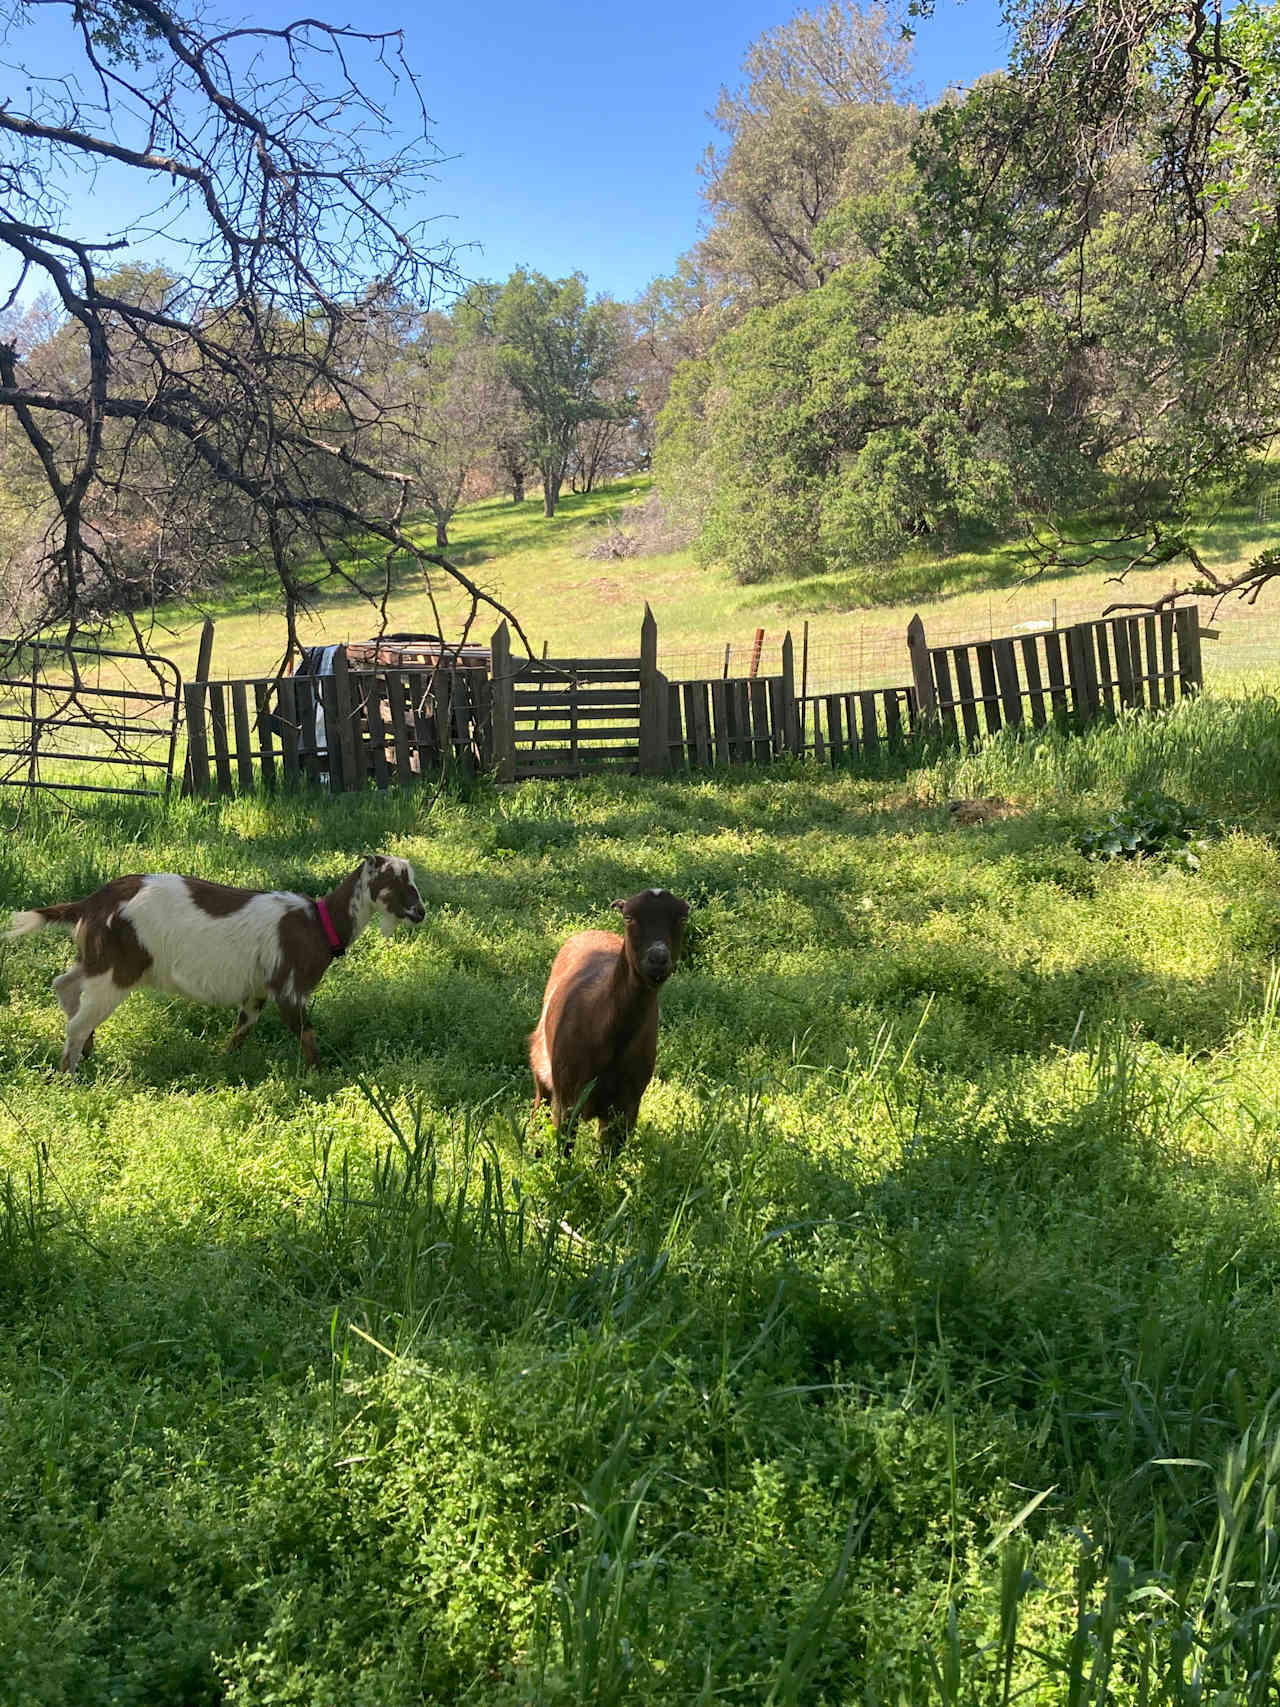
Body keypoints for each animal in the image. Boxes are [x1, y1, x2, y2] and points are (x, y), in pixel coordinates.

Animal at [6, 860, 426, 1071]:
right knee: (77, 1021)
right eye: (398, 881)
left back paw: (87, 1053)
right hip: (117, 970)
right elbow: (307, 1035)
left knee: (65, 986)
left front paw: (222, 1066)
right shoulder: (289, 988)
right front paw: (318, 1078)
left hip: (98, 958)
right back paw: (70, 1076)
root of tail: (94, 902)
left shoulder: (256, 992)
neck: (318, 925)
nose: (420, 912)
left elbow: (242, 1030)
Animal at [529, 887, 692, 1153]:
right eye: (629, 917)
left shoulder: (627, 1106)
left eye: (682, 918)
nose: (658, 958)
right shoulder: (566, 1099)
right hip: (541, 1066)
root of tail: (592, 931)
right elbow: (563, 1151)